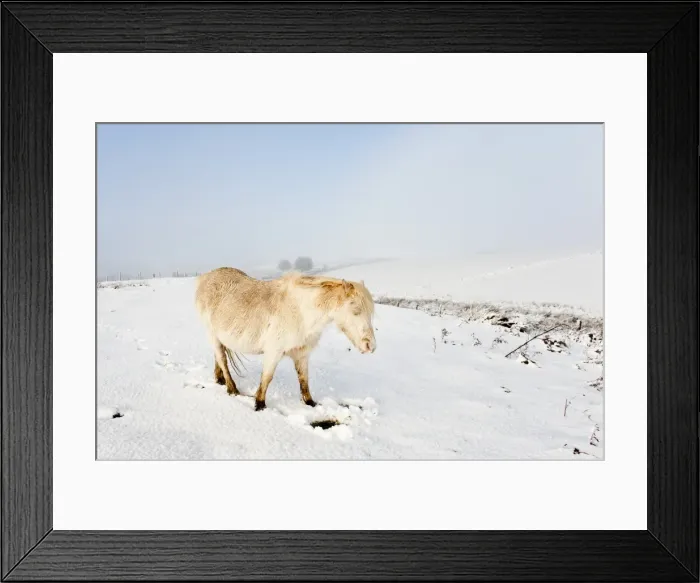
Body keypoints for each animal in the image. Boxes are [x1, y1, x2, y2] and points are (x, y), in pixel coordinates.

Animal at [195, 267, 376, 411]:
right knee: (223, 360)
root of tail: (205, 277)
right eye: (355, 310)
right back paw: (232, 389)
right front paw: (259, 405)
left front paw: (310, 404)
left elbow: (304, 382)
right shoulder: (273, 352)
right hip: (212, 335)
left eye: (370, 312)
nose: (370, 346)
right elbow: (267, 378)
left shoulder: (302, 355)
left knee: (219, 359)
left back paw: (220, 380)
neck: (300, 312)